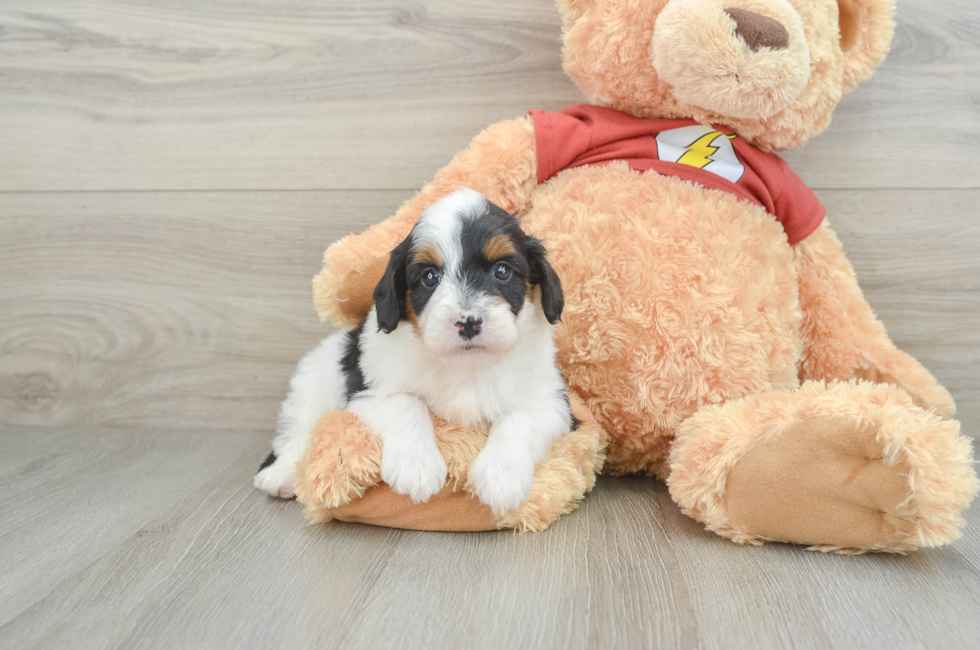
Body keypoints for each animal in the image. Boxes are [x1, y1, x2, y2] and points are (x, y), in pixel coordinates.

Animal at [255, 189, 576, 516]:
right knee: (298, 429)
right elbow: (407, 403)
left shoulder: (554, 400)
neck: (466, 366)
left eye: (502, 271)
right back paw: (281, 473)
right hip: (313, 380)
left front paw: (501, 476)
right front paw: (416, 467)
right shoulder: (369, 391)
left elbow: (521, 417)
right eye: (430, 277)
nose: (468, 322)